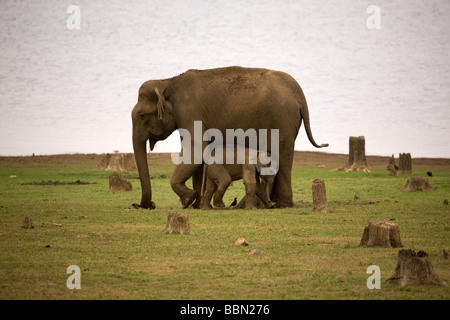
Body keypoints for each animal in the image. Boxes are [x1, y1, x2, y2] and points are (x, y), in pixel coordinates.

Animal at [131, 66, 326, 209]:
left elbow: (195, 151)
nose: (149, 205)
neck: (168, 81)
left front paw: (189, 200)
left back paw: (278, 205)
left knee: (281, 155)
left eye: (141, 115)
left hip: (282, 120)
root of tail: (300, 95)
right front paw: (196, 203)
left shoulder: (189, 111)